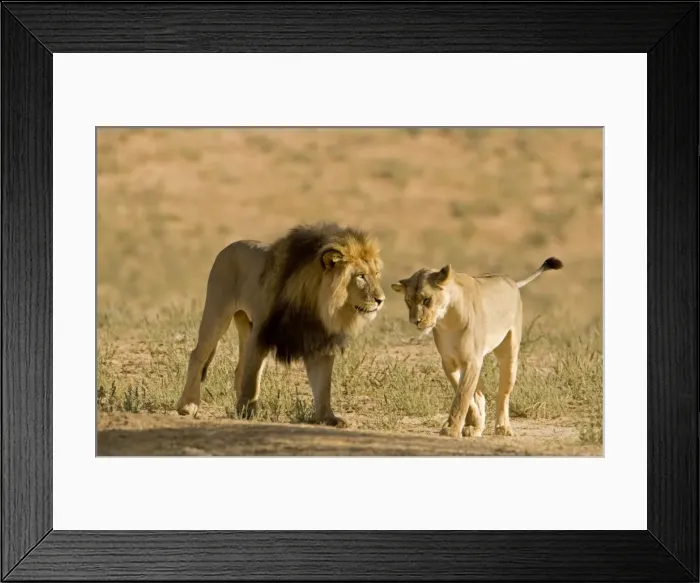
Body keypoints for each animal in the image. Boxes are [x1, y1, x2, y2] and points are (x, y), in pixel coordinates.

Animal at [175, 222, 386, 427]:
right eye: (360, 276)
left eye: (376, 274)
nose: (381, 300)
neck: (318, 304)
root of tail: (229, 247)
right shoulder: (262, 333)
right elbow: (251, 379)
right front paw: (247, 412)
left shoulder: (319, 342)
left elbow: (323, 386)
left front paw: (329, 418)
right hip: (218, 313)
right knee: (198, 355)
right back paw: (187, 405)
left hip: (246, 325)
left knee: (240, 368)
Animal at [391, 257, 563, 438]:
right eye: (408, 301)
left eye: (426, 299)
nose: (414, 321)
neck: (447, 320)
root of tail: (511, 281)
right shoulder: (450, 362)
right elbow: (465, 393)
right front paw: (472, 424)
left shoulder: (472, 360)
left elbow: (463, 395)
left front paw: (451, 429)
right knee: (480, 391)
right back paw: (477, 425)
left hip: (509, 353)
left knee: (504, 392)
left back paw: (503, 427)